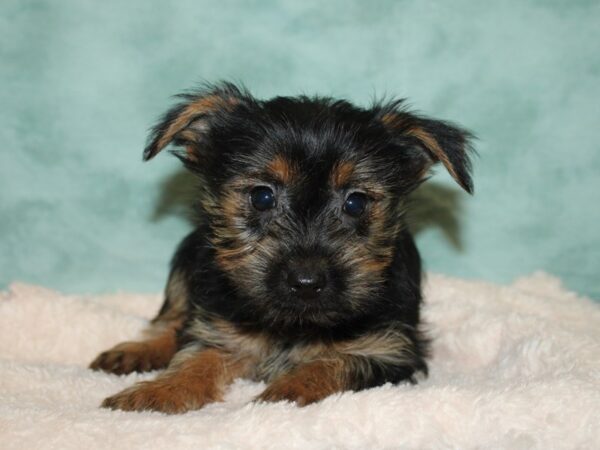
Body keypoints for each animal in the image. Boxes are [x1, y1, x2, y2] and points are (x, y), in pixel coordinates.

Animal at [89, 82, 474, 414]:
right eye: (262, 197)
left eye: (355, 203)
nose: (306, 282)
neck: (295, 323)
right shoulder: (220, 329)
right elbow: (195, 357)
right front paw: (158, 391)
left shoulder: (388, 350)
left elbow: (334, 362)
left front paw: (287, 391)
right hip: (190, 255)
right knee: (173, 317)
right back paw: (138, 351)